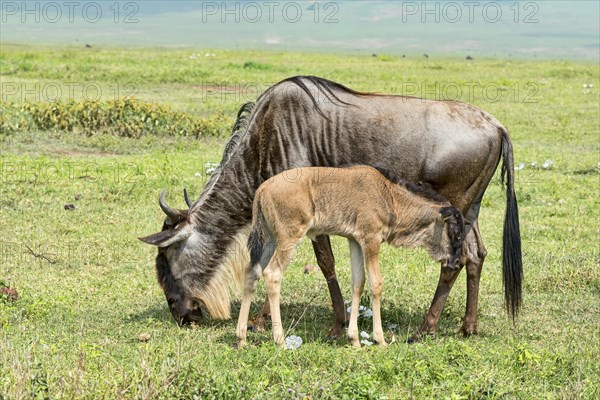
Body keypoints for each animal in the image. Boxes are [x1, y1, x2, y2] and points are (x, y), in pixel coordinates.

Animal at [237, 165, 466, 346]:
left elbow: (358, 282)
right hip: (289, 238)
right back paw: (280, 340)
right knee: (272, 274)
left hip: (269, 239)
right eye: (455, 233)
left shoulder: (355, 240)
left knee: (252, 272)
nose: (456, 263)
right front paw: (379, 339)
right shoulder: (371, 239)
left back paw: (241, 338)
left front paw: (354, 339)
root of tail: (263, 189)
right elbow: (376, 283)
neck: (389, 196)